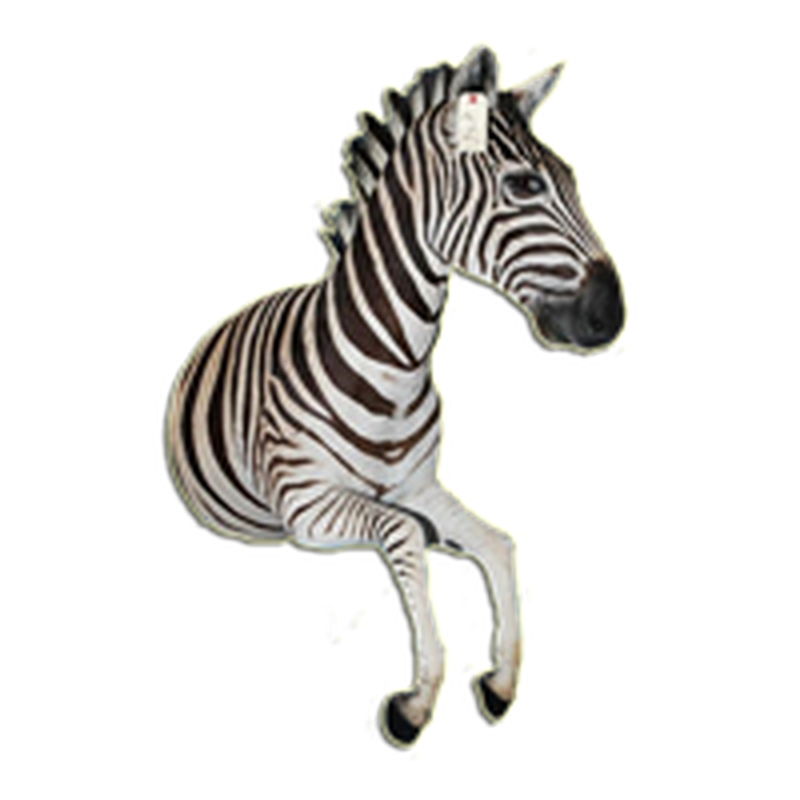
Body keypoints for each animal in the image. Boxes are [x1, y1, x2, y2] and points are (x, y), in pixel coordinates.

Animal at [165, 41, 626, 749]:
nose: (611, 316)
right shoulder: (309, 505)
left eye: (571, 179)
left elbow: (500, 543)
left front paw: (499, 682)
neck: (389, 368)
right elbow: (406, 535)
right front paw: (417, 701)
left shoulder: (416, 486)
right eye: (523, 186)